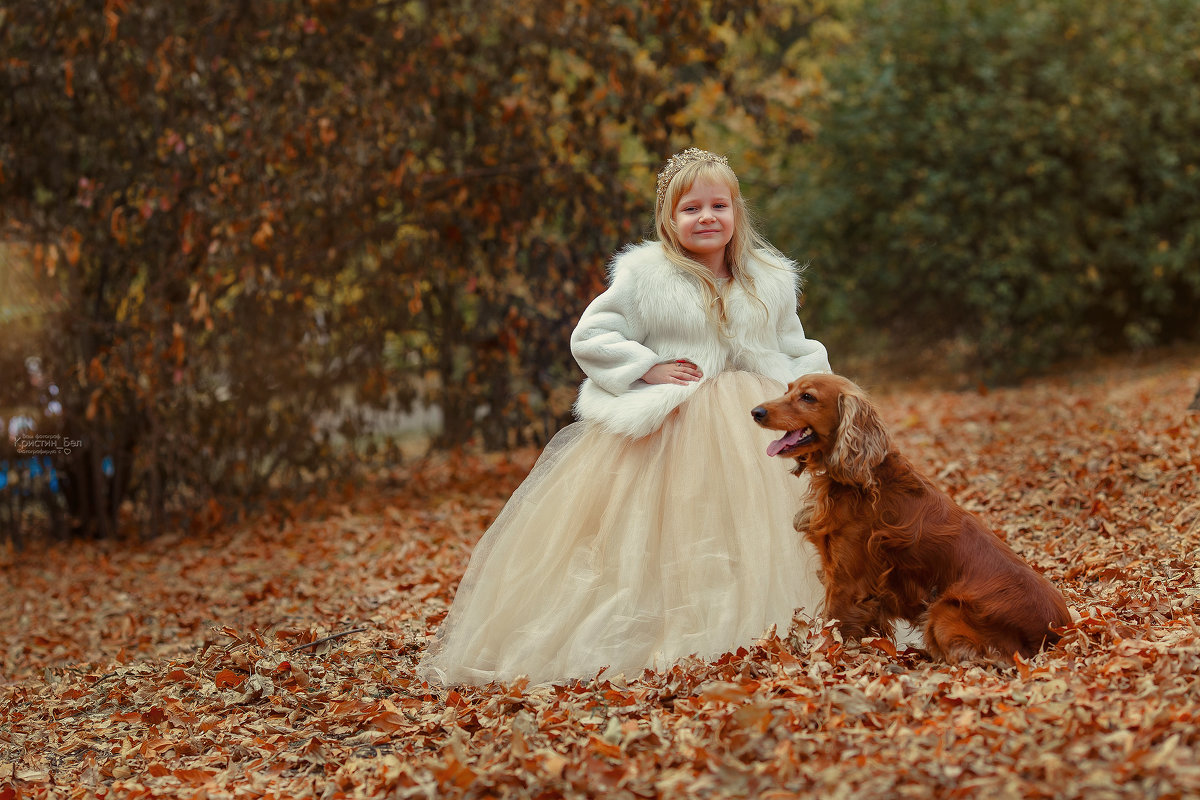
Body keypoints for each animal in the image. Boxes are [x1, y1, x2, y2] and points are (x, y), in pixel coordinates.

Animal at [748, 376, 1070, 662]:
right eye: (787, 390)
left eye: (808, 397)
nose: (756, 412)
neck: (859, 478)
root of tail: (1059, 632)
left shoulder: (847, 579)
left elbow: (833, 625)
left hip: (944, 610)